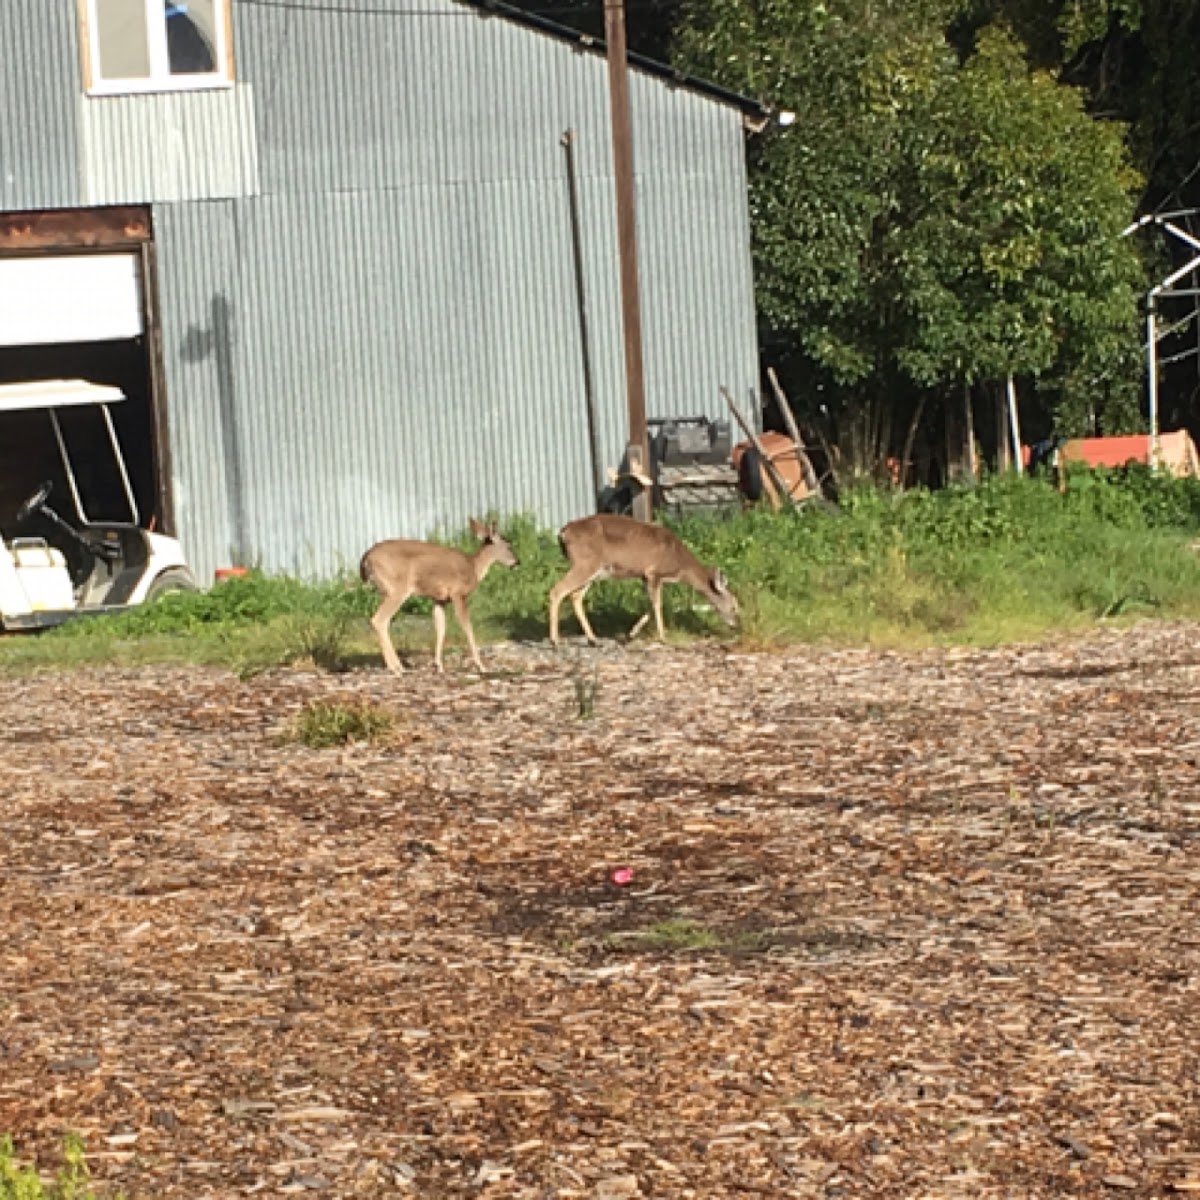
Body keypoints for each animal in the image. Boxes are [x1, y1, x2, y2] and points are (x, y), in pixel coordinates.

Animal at [362, 518, 518, 676]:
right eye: (509, 546)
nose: (517, 562)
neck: (474, 568)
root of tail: (365, 558)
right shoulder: (458, 594)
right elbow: (467, 627)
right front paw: (481, 666)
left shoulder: (440, 599)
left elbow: (441, 628)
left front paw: (439, 666)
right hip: (397, 590)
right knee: (379, 619)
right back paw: (396, 668)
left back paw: (398, 666)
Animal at [549, 516, 734, 648]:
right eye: (734, 605)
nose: (735, 624)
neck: (679, 564)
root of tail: (563, 532)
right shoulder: (654, 572)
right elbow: (658, 604)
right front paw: (663, 638)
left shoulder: (645, 576)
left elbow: (650, 606)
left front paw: (630, 635)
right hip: (585, 564)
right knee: (557, 590)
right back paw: (555, 641)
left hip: (592, 570)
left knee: (575, 596)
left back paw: (593, 640)